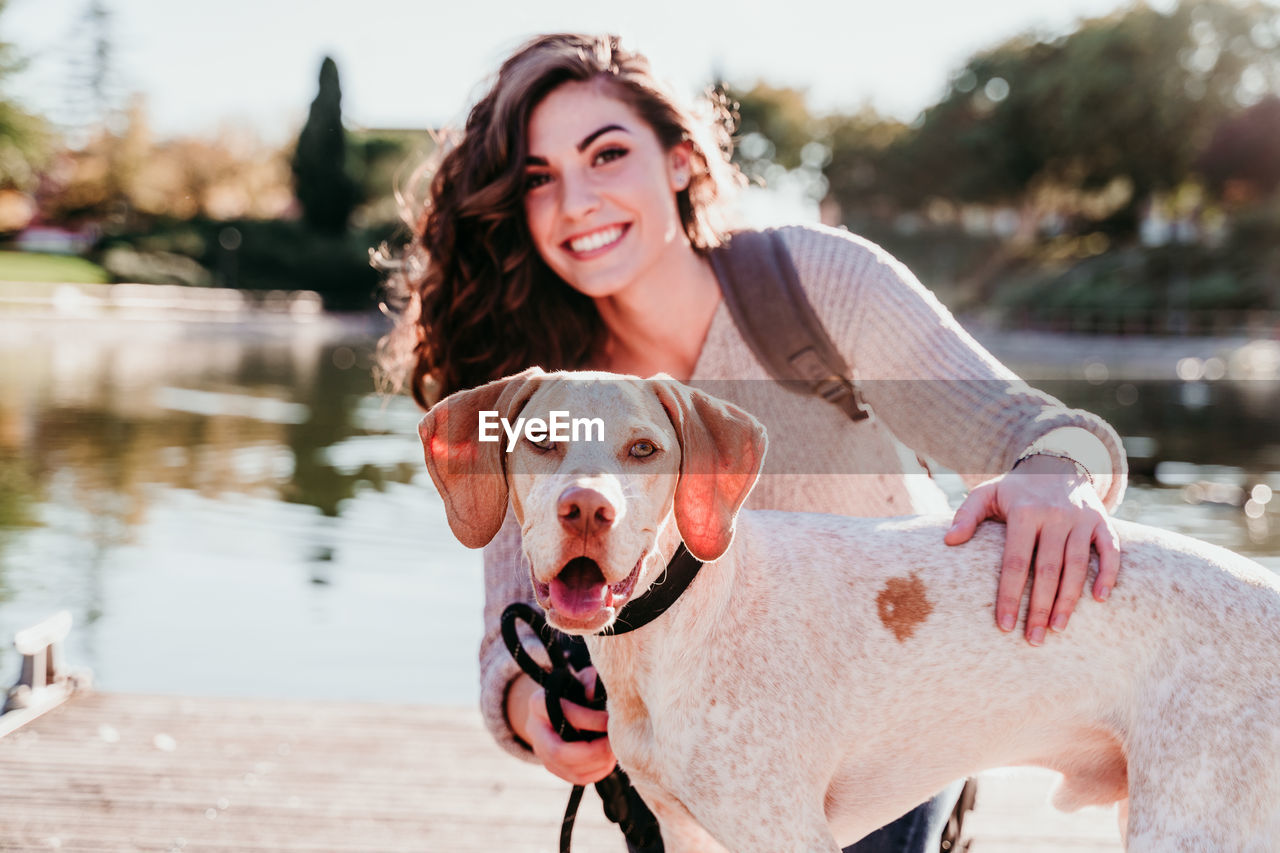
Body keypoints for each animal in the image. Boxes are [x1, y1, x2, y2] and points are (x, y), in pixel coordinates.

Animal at [419, 368, 1280, 845]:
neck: (679, 627)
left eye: (643, 451)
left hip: (1190, 824)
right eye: (541, 438)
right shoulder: (685, 831)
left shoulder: (789, 835)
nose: (587, 510)